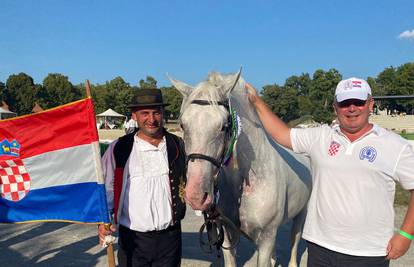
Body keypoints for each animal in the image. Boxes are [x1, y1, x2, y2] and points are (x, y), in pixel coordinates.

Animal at [171, 71, 310, 267]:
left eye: (223, 126)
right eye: (183, 125)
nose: (196, 196)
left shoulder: (266, 237)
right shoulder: (228, 235)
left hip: (301, 214)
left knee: (294, 241)